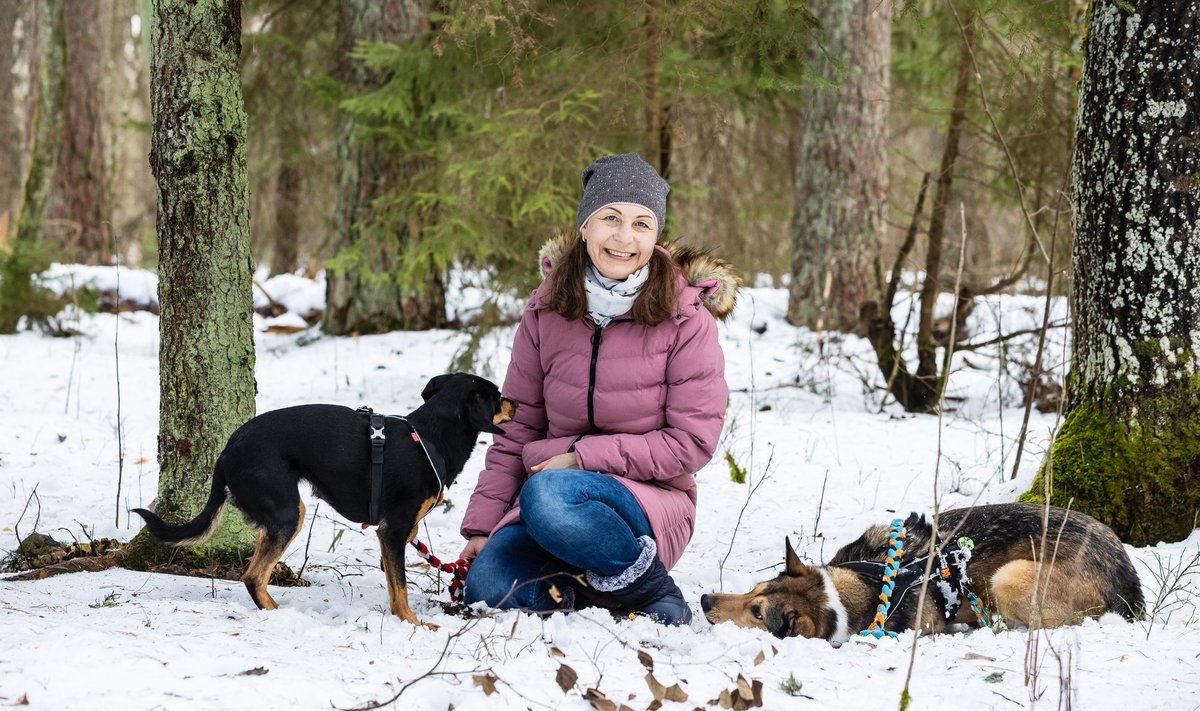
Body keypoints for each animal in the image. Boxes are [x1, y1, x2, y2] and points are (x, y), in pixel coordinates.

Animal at [132, 372, 516, 629]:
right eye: (497, 396)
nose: (516, 402)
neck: (430, 438)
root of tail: (228, 450)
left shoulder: (393, 534)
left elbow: (394, 586)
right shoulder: (393, 530)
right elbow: (402, 587)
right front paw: (414, 624)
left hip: (276, 517)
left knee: (255, 571)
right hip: (288, 513)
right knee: (253, 576)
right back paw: (279, 616)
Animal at [700, 502, 1142, 643]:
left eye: (758, 613)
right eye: (753, 587)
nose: (704, 599)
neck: (871, 583)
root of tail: (1128, 573)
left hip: (1009, 578)